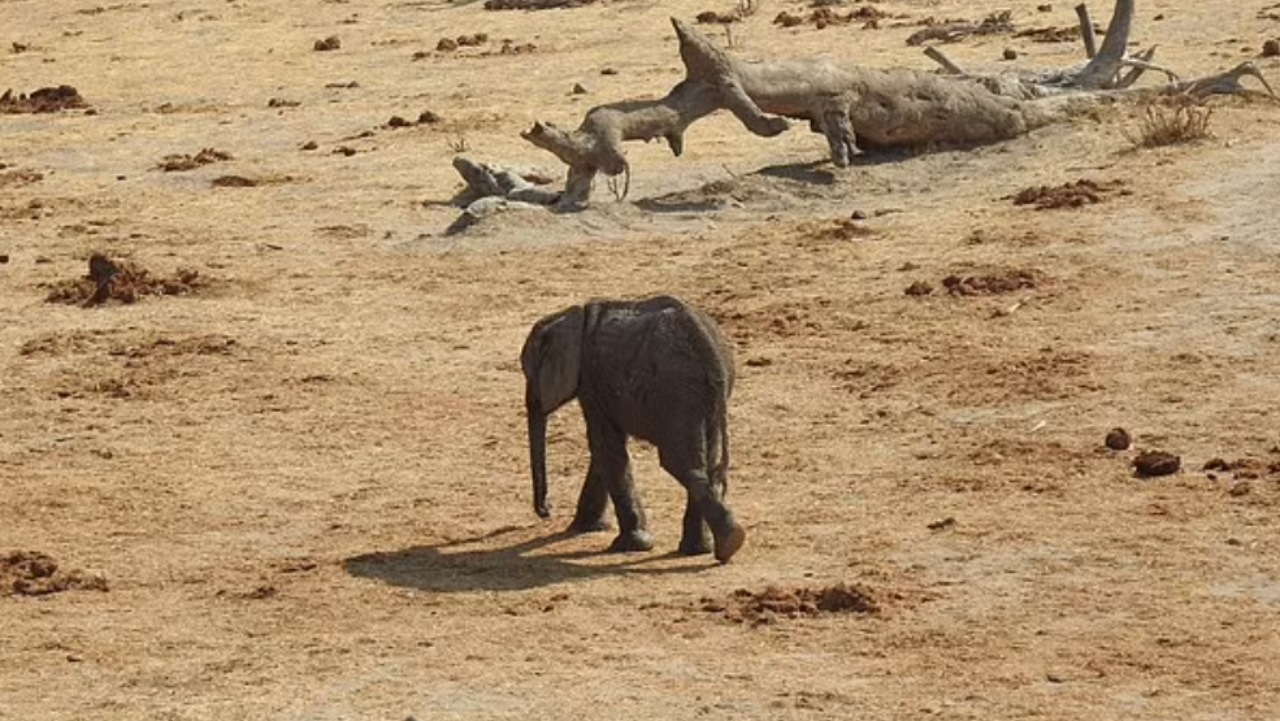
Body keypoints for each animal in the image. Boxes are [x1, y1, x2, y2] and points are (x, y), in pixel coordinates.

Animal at [517, 294, 747, 563]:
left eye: (529, 372)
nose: (547, 510)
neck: (572, 315)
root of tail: (710, 353)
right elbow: (606, 450)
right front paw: (587, 528)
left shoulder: (592, 379)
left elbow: (604, 447)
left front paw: (630, 545)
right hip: (698, 400)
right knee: (703, 462)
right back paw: (708, 548)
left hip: (676, 393)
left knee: (680, 463)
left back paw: (725, 543)